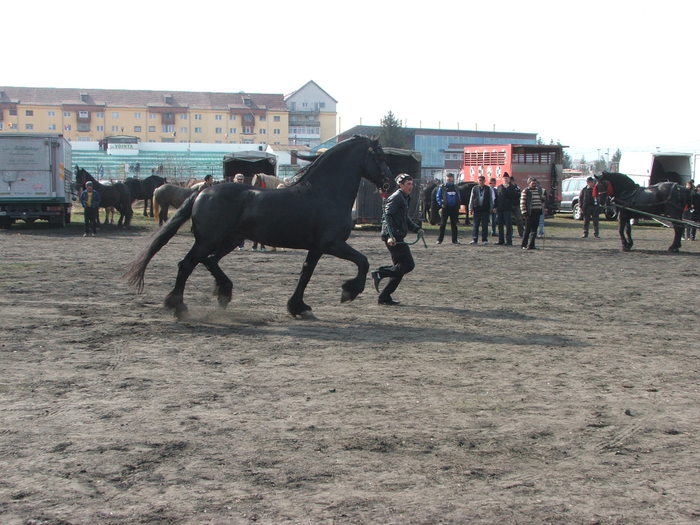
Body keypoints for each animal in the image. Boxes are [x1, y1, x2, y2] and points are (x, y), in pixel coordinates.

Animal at [126, 135, 394, 318]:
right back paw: (179, 306)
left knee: (209, 261)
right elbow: (362, 261)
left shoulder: (317, 248)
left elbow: (306, 273)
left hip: (230, 240)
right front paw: (349, 291)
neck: (325, 193)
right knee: (188, 264)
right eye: (380, 156)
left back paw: (224, 292)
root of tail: (202, 191)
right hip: (210, 240)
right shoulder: (332, 244)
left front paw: (298, 307)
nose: (391, 183)